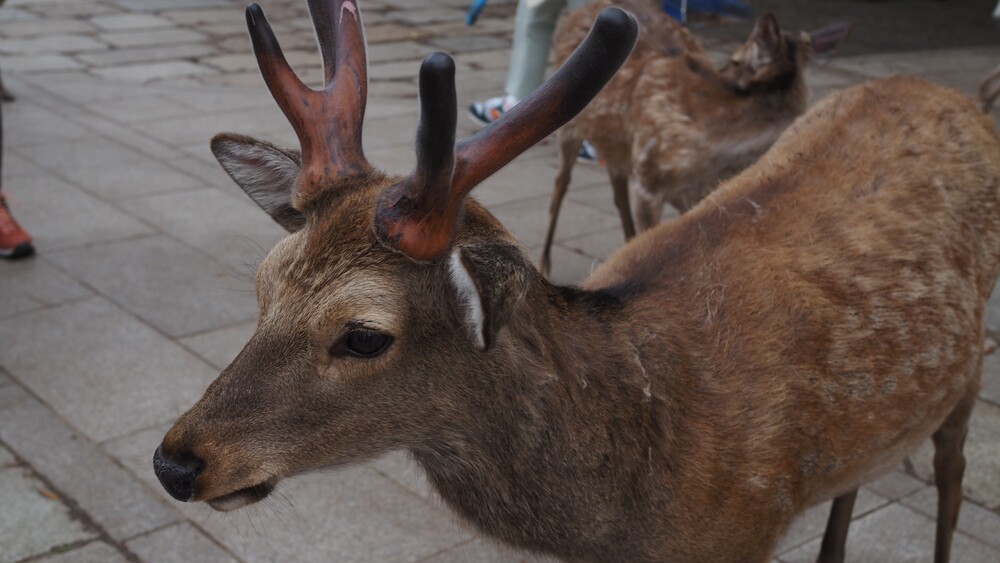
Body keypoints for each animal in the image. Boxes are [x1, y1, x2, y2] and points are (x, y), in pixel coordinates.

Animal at [540, 0, 852, 278]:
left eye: (735, 60)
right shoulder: (647, 179)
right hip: (571, 127)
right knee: (560, 183)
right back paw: (545, 263)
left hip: (615, 142)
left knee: (616, 183)